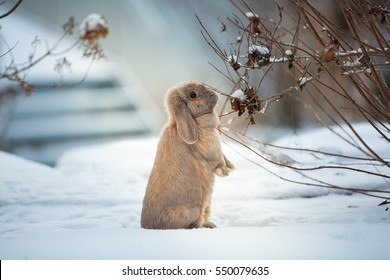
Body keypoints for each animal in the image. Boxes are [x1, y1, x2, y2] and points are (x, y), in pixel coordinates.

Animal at [141, 81, 235, 230]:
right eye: (193, 95)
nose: (213, 93)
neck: (195, 119)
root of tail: (149, 226)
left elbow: (224, 157)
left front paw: (231, 167)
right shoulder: (212, 149)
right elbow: (217, 159)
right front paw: (225, 172)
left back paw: (211, 224)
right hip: (193, 211)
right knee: (193, 224)